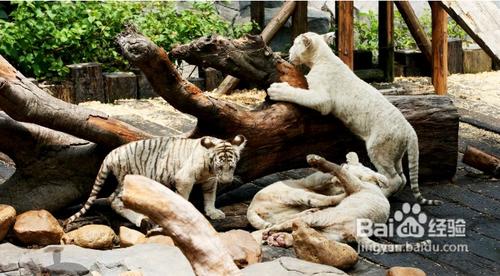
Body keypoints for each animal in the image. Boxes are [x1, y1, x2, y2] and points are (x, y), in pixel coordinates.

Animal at [63, 135, 247, 227]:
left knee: (111, 198)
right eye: (220, 167)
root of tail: (112, 153)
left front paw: (213, 212)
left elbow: (210, 197)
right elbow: (184, 197)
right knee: (115, 200)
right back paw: (140, 218)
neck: (209, 168)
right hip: (132, 179)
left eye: (231, 166)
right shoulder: (185, 178)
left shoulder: (209, 181)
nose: (227, 181)